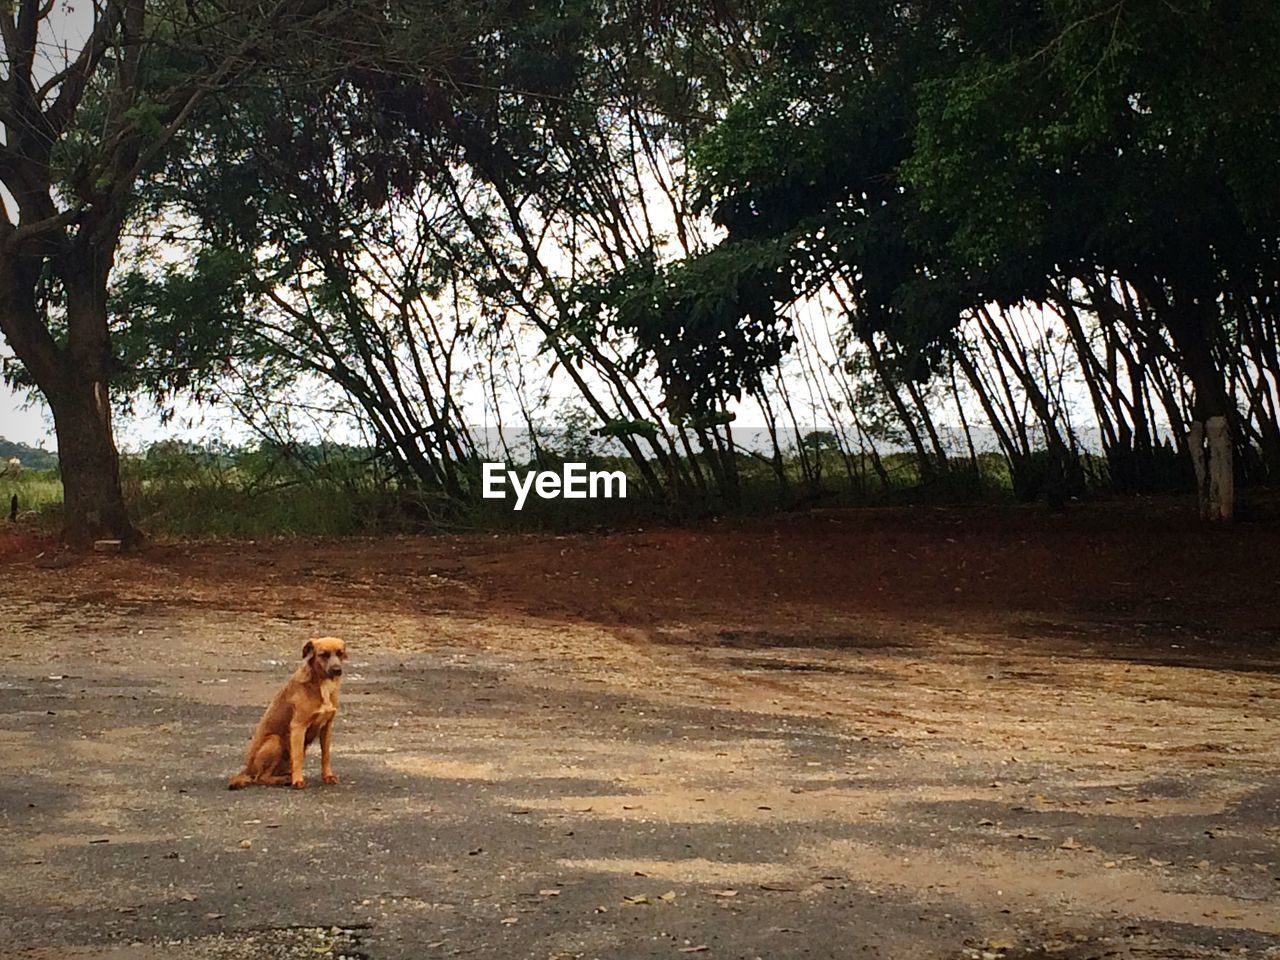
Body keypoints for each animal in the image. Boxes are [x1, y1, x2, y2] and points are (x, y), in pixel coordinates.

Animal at [230, 640, 348, 788]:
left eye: (340, 653)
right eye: (323, 655)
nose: (337, 670)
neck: (321, 684)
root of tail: (247, 769)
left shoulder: (327, 727)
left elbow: (325, 755)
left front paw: (328, 776)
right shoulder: (298, 727)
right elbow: (297, 758)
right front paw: (298, 781)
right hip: (275, 741)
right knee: (260, 778)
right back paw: (284, 779)